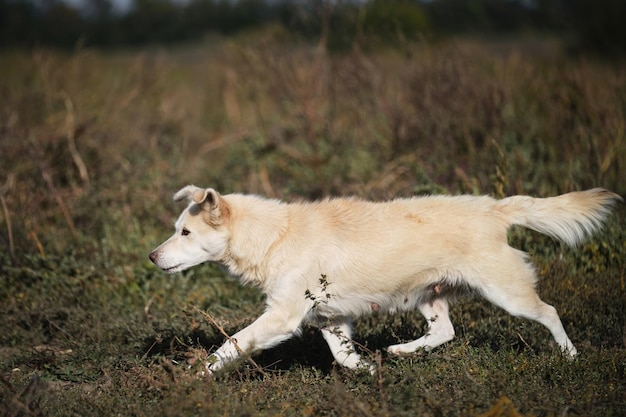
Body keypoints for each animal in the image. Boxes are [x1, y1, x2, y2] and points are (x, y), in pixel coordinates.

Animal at [147, 185, 620, 370]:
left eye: (184, 233)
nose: (151, 257)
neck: (274, 236)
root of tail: (494, 207)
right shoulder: (331, 319)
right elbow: (344, 358)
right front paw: (369, 374)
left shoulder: (282, 317)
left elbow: (231, 345)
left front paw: (197, 376)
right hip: (428, 296)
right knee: (444, 332)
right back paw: (400, 352)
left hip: (507, 293)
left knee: (550, 311)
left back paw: (571, 358)